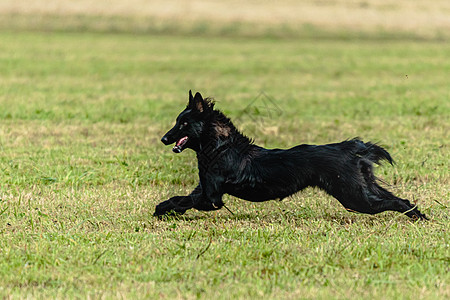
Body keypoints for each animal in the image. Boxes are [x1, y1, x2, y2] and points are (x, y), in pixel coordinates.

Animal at [156, 91, 428, 220]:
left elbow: (182, 200)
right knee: (402, 200)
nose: (164, 139)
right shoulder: (204, 190)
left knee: (394, 203)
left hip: (354, 197)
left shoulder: (212, 198)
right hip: (363, 188)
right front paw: (165, 211)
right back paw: (420, 217)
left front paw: (163, 210)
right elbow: (183, 198)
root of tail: (353, 148)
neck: (220, 147)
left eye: (183, 124)